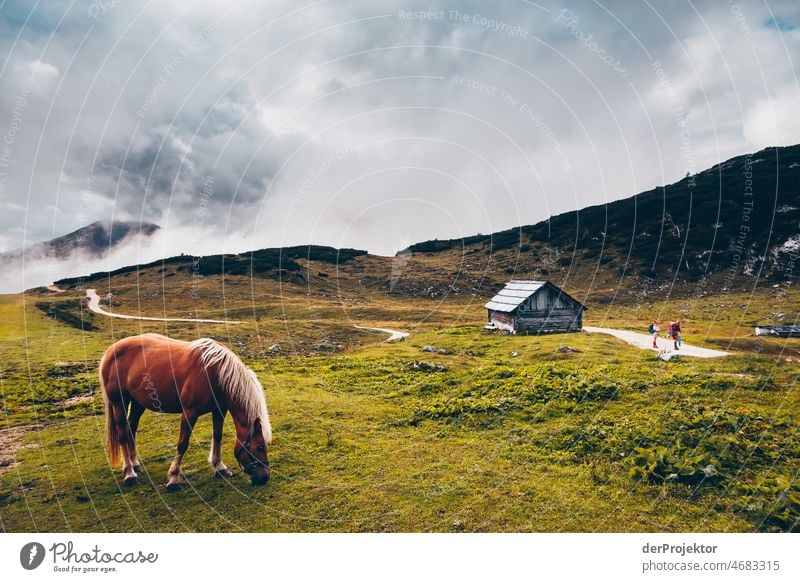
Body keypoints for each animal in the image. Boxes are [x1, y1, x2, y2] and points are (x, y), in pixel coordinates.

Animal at [100, 336, 274, 490]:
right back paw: (130, 474)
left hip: (138, 403)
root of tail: (110, 351)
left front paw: (220, 467)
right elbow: (183, 443)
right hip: (119, 402)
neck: (215, 372)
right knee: (123, 433)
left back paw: (135, 464)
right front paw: (173, 478)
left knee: (131, 428)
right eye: (259, 447)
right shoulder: (190, 413)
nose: (264, 478)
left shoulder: (219, 410)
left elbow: (217, 436)